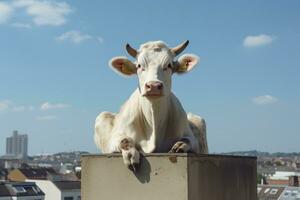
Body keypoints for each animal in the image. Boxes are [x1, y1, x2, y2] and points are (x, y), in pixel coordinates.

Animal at [95, 40, 207, 170]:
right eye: (139, 66)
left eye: (169, 65)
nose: (153, 86)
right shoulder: (113, 140)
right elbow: (124, 140)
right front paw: (130, 154)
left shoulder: (193, 140)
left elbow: (187, 140)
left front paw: (180, 146)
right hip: (101, 116)